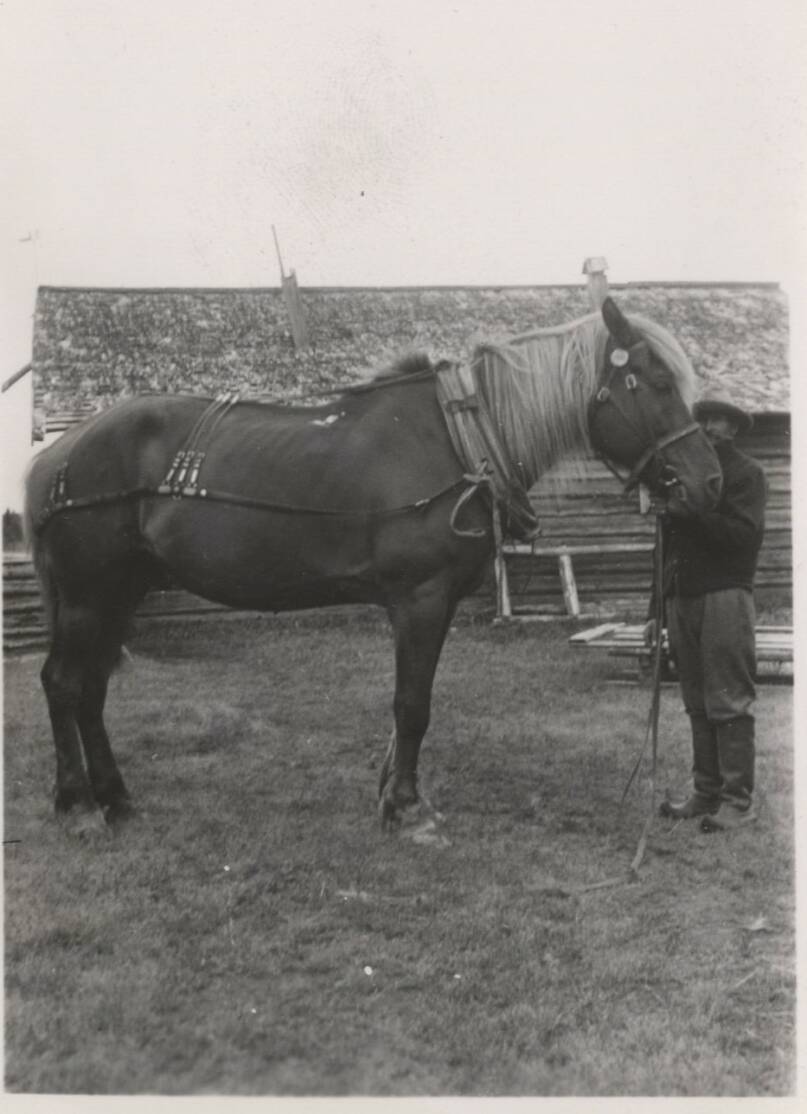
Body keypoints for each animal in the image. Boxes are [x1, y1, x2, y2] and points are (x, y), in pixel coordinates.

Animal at [23, 296, 717, 837]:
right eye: (655, 384)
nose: (704, 483)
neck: (458, 438)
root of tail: (57, 452)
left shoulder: (426, 605)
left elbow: (407, 705)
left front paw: (390, 792)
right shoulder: (419, 598)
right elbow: (412, 704)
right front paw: (408, 809)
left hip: (118, 595)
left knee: (91, 689)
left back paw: (115, 797)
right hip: (88, 596)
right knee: (62, 683)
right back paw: (80, 805)